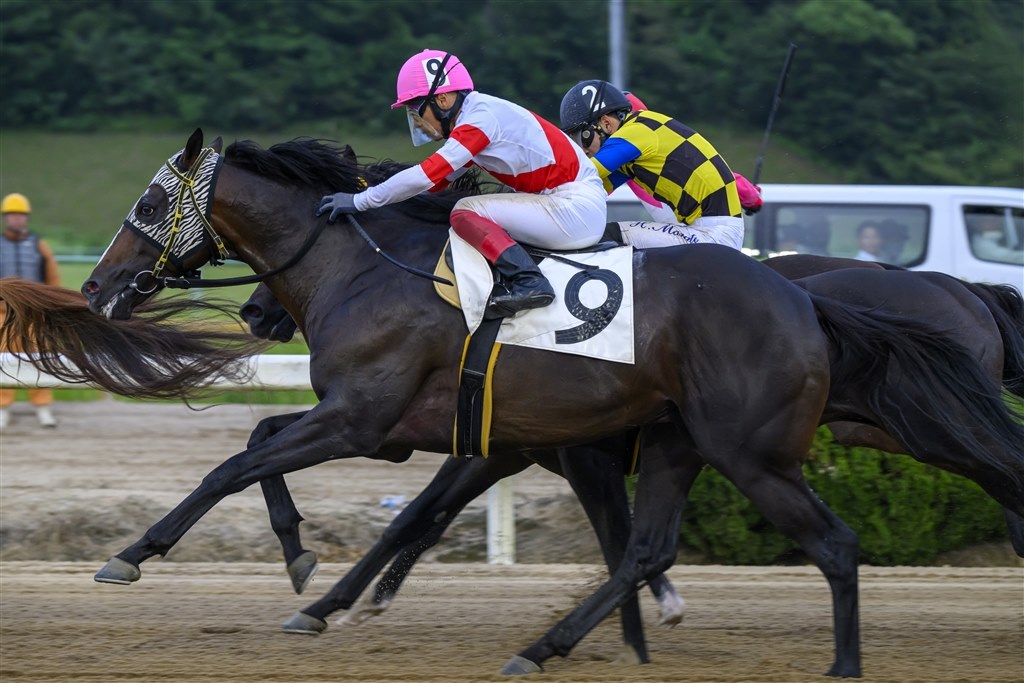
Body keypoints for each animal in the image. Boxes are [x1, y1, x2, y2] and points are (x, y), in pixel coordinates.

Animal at [3, 130, 1020, 677]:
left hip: (755, 452)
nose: (98, 286)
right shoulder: (425, 432)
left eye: (149, 203)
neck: (366, 267)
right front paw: (306, 571)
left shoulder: (370, 420)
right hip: (689, 439)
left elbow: (236, 461)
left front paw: (136, 554)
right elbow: (290, 456)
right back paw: (543, 644)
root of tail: (806, 302)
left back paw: (843, 660)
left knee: (841, 541)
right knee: (650, 544)